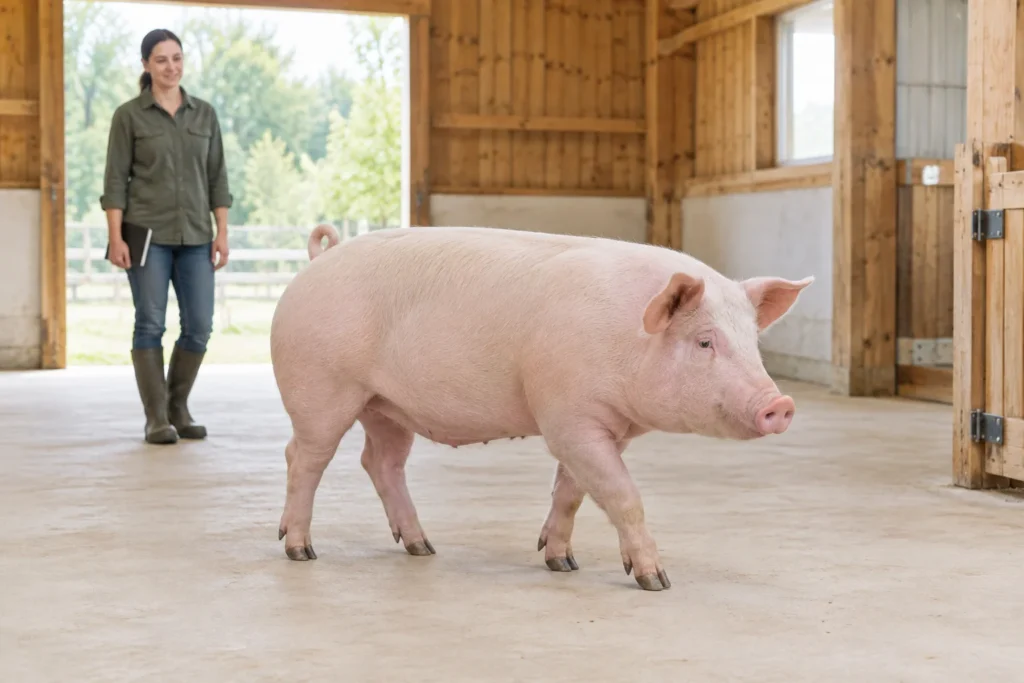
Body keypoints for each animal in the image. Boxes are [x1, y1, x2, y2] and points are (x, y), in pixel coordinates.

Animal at [269, 223, 813, 592]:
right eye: (704, 342)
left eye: (753, 342)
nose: (781, 404)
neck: (628, 340)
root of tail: (316, 261)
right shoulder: (569, 419)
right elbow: (623, 497)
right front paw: (656, 580)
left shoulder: (594, 426)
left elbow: (571, 494)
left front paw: (561, 563)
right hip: (321, 388)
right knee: (303, 457)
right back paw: (301, 551)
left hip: (384, 405)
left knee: (380, 462)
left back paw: (424, 547)